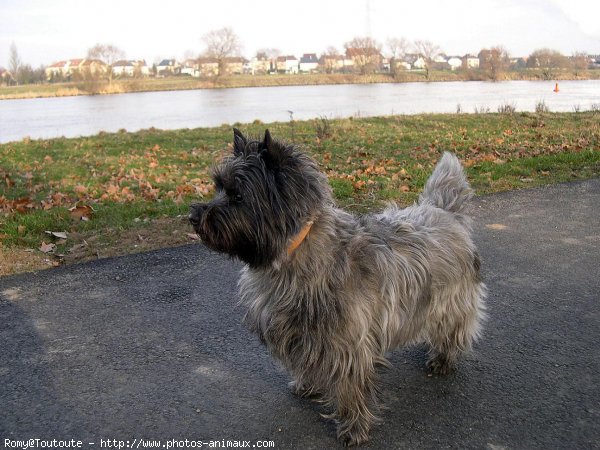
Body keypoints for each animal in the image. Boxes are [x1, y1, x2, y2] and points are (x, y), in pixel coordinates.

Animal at [190, 130, 486, 446]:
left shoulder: (348, 344)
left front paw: (354, 428)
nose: (194, 216)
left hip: (450, 300)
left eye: (238, 196)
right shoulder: (302, 333)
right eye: (218, 188)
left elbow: (349, 388)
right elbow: (306, 362)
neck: (294, 251)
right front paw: (308, 385)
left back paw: (443, 359)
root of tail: (444, 211)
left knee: (453, 329)